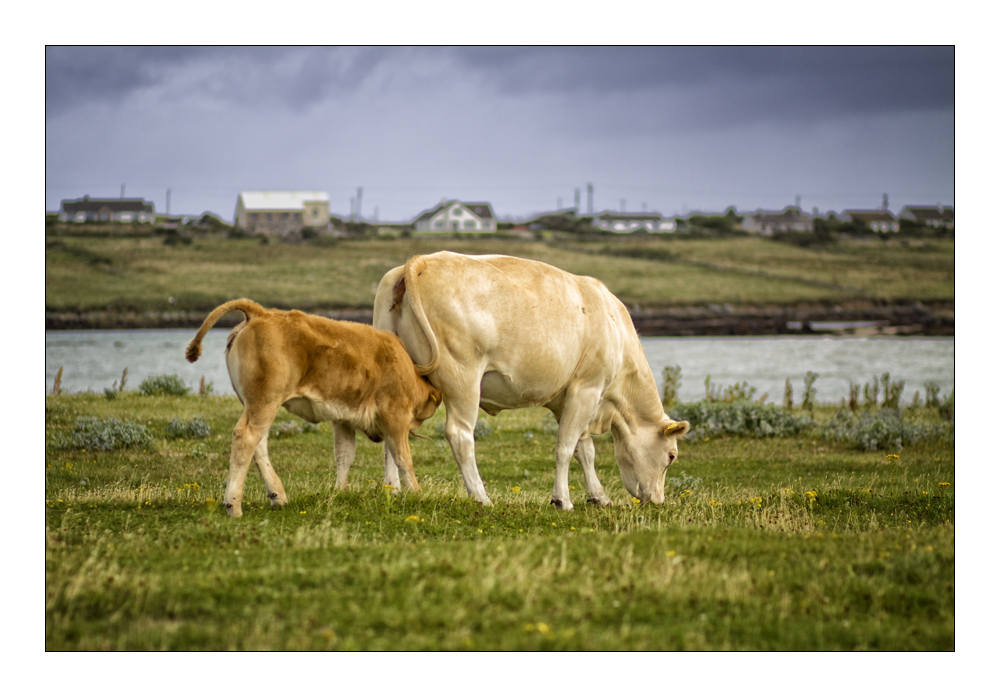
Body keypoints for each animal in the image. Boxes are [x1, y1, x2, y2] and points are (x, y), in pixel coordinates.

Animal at [185, 300, 442, 516]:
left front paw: (341, 491)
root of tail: (261, 312)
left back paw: (277, 496)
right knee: (246, 437)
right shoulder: (395, 416)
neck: (405, 367)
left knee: (259, 444)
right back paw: (234, 505)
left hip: (255, 405)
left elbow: (344, 454)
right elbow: (403, 457)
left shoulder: (343, 419)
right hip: (264, 402)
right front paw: (417, 492)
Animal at [372, 253, 692, 508]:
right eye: (671, 456)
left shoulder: (569, 399)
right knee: (460, 435)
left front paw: (598, 496)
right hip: (463, 377)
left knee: (393, 429)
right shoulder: (588, 388)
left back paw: (392, 489)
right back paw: (481, 497)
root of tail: (423, 260)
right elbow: (565, 447)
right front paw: (562, 500)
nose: (658, 501)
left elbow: (585, 450)